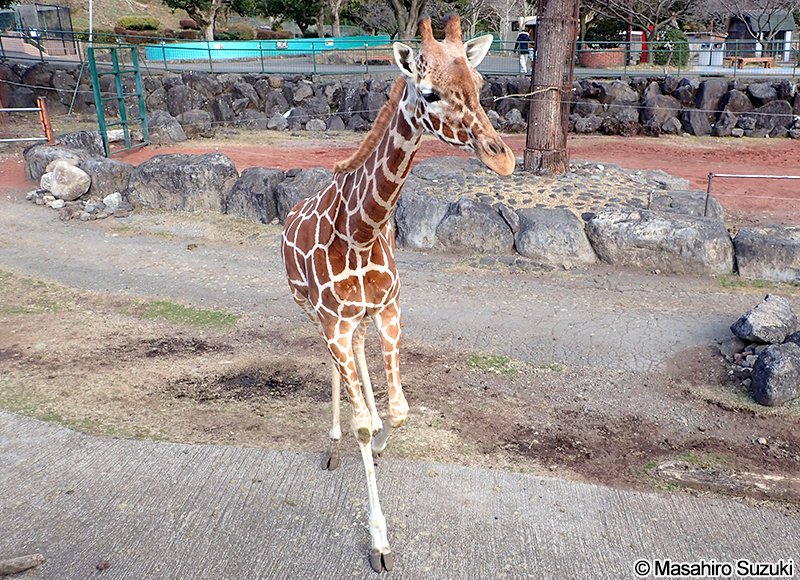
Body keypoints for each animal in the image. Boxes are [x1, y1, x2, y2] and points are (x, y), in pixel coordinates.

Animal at [281, 14, 515, 572]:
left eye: (480, 84)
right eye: (429, 92)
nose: (503, 160)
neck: (361, 230)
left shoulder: (388, 310)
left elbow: (400, 409)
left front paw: (386, 444)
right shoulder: (334, 320)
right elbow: (365, 423)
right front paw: (379, 542)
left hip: (359, 319)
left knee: (361, 361)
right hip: (312, 313)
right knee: (335, 370)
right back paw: (333, 444)